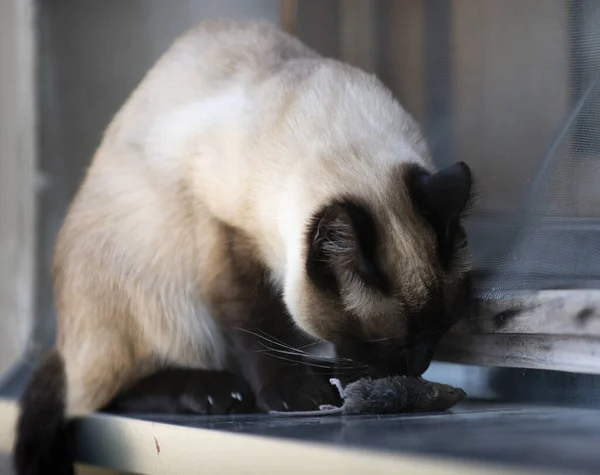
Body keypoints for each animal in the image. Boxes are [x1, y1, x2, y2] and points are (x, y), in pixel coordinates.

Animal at [12, 19, 474, 475]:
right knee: (100, 397)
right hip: (163, 290)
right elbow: (256, 329)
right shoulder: (227, 240)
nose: (418, 367)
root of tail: (61, 344)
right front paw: (295, 391)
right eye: (384, 343)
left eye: (439, 331)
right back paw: (217, 392)